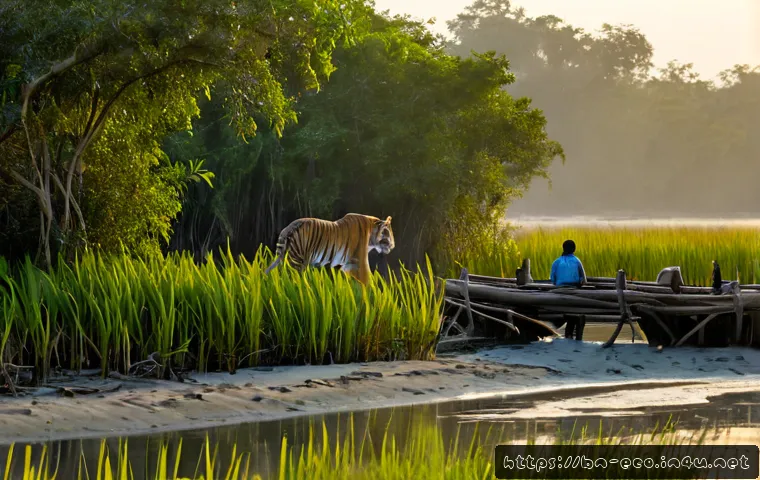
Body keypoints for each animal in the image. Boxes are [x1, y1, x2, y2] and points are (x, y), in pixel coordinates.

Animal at [264, 213, 395, 285]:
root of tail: (288, 228)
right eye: (387, 233)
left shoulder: (348, 263)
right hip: (298, 261)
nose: (393, 245)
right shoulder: (360, 261)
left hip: (283, 257)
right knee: (291, 278)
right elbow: (365, 279)